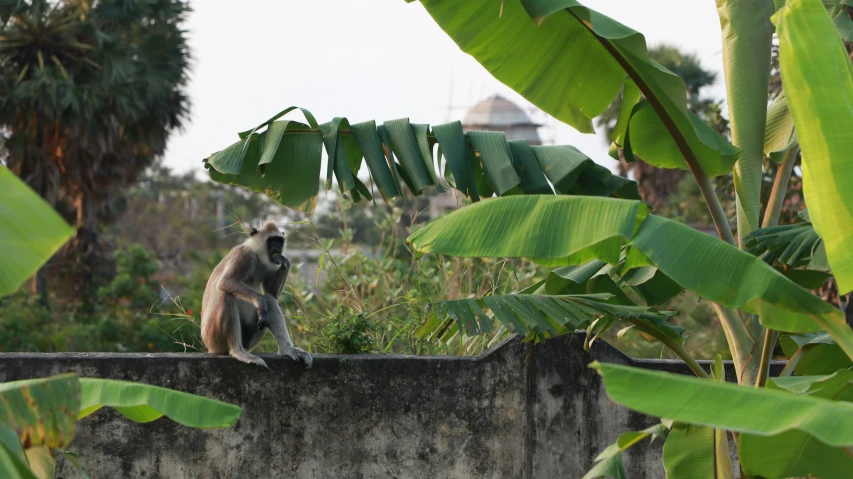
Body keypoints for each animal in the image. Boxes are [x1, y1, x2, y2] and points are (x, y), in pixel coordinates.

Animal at [201, 221, 312, 372]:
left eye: (279, 240)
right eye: (271, 240)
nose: (277, 248)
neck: (256, 254)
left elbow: (272, 293)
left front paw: (285, 262)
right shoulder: (243, 254)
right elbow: (226, 282)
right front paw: (259, 301)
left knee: (270, 300)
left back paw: (288, 350)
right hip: (213, 338)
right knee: (226, 295)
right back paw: (238, 352)